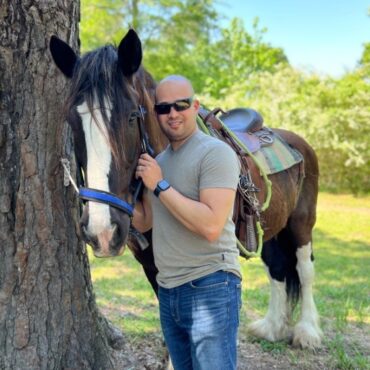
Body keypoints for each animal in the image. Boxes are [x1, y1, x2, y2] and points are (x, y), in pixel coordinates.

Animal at [49, 29, 320, 350]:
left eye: (131, 117)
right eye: (73, 121)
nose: (102, 231)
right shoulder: (152, 264)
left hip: (302, 223)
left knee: (304, 270)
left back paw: (307, 331)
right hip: (271, 226)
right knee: (276, 267)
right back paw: (272, 327)